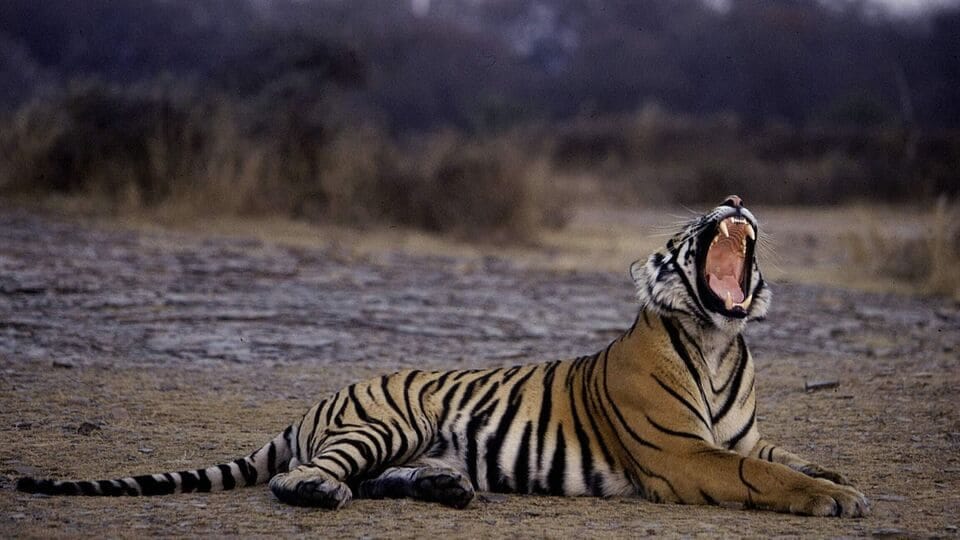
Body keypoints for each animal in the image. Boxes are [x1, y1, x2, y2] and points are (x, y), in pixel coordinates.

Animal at [16, 195, 869, 517]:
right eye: (689, 226)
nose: (733, 200)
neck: (720, 342)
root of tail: (314, 401)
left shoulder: (742, 434)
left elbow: (785, 453)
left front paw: (838, 475)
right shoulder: (685, 456)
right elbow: (763, 474)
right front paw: (838, 499)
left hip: (410, 439)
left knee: (382, 476)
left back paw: (446, 489)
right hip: (385, 421)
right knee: (307, 476)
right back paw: (330, 494)